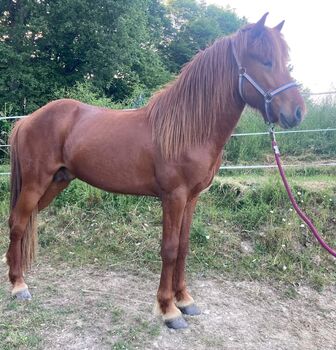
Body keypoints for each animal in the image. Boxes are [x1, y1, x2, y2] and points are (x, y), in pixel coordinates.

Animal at [5, 13, 304, 330]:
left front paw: (185, 300)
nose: (297, 112)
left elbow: (184, 247)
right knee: (18, 224)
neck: (189, 128)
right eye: (266, 61)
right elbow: (169, 249)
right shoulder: (174, 197)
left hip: (56, 182)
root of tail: (27, 120)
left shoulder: (192, 198)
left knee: (22, 222)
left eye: (284, 60)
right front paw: (168, 310)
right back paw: (18, 285)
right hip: (35, 183)